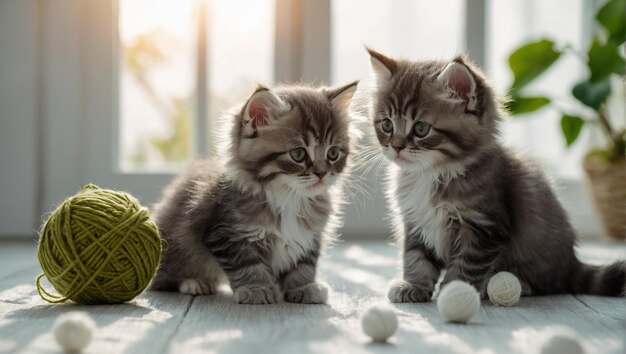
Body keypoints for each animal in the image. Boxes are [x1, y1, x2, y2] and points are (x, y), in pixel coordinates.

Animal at [150, 82, 356, 304]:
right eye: (298, 154)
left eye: (333, 153)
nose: (322, 173)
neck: (289, 198)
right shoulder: (227, 234)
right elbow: (246, 266)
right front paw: (257, 289)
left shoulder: (310, 237)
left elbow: (304, 265)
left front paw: (303, 287)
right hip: (176, 246)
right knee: (165, 278)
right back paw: (195, 282)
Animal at [364, 47, 624, 302]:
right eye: (387, 125)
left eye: (420, 129)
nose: (396, 147)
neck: (431, 174)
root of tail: (572, 261)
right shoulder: (415, 222)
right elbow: (415, 258)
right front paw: (414, 286)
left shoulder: (483, 227)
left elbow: (465, 266)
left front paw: (454, 292)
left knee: (550, 283)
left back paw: (522, 286)